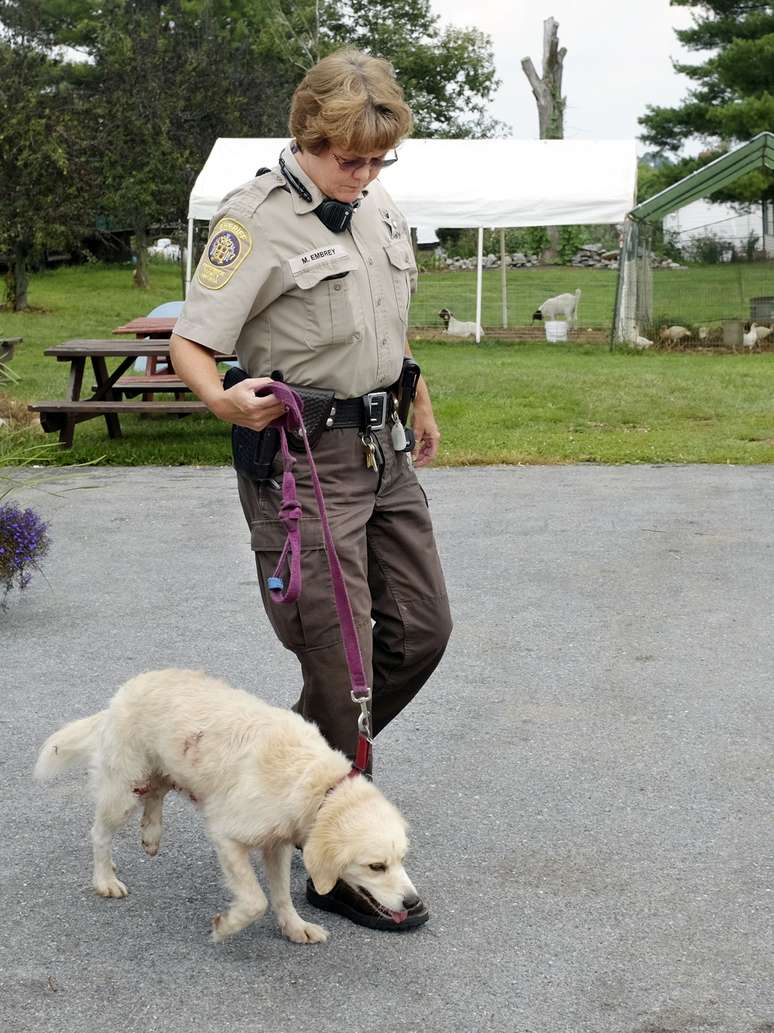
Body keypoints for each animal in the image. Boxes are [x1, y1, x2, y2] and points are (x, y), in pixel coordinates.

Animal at [33, 669, 419, 946]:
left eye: (402, 859)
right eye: (376, 866)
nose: (413, 902)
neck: (315, 784)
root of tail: (125, 690)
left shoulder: (276, 844)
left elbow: (281, 895)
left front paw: (294, 927)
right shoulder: (228, 837)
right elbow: (255, 900)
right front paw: (225, 926)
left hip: (162, 771)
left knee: (156, 794)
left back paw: (151, 835)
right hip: (123, 792)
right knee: (99, 833)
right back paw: (105, 879)